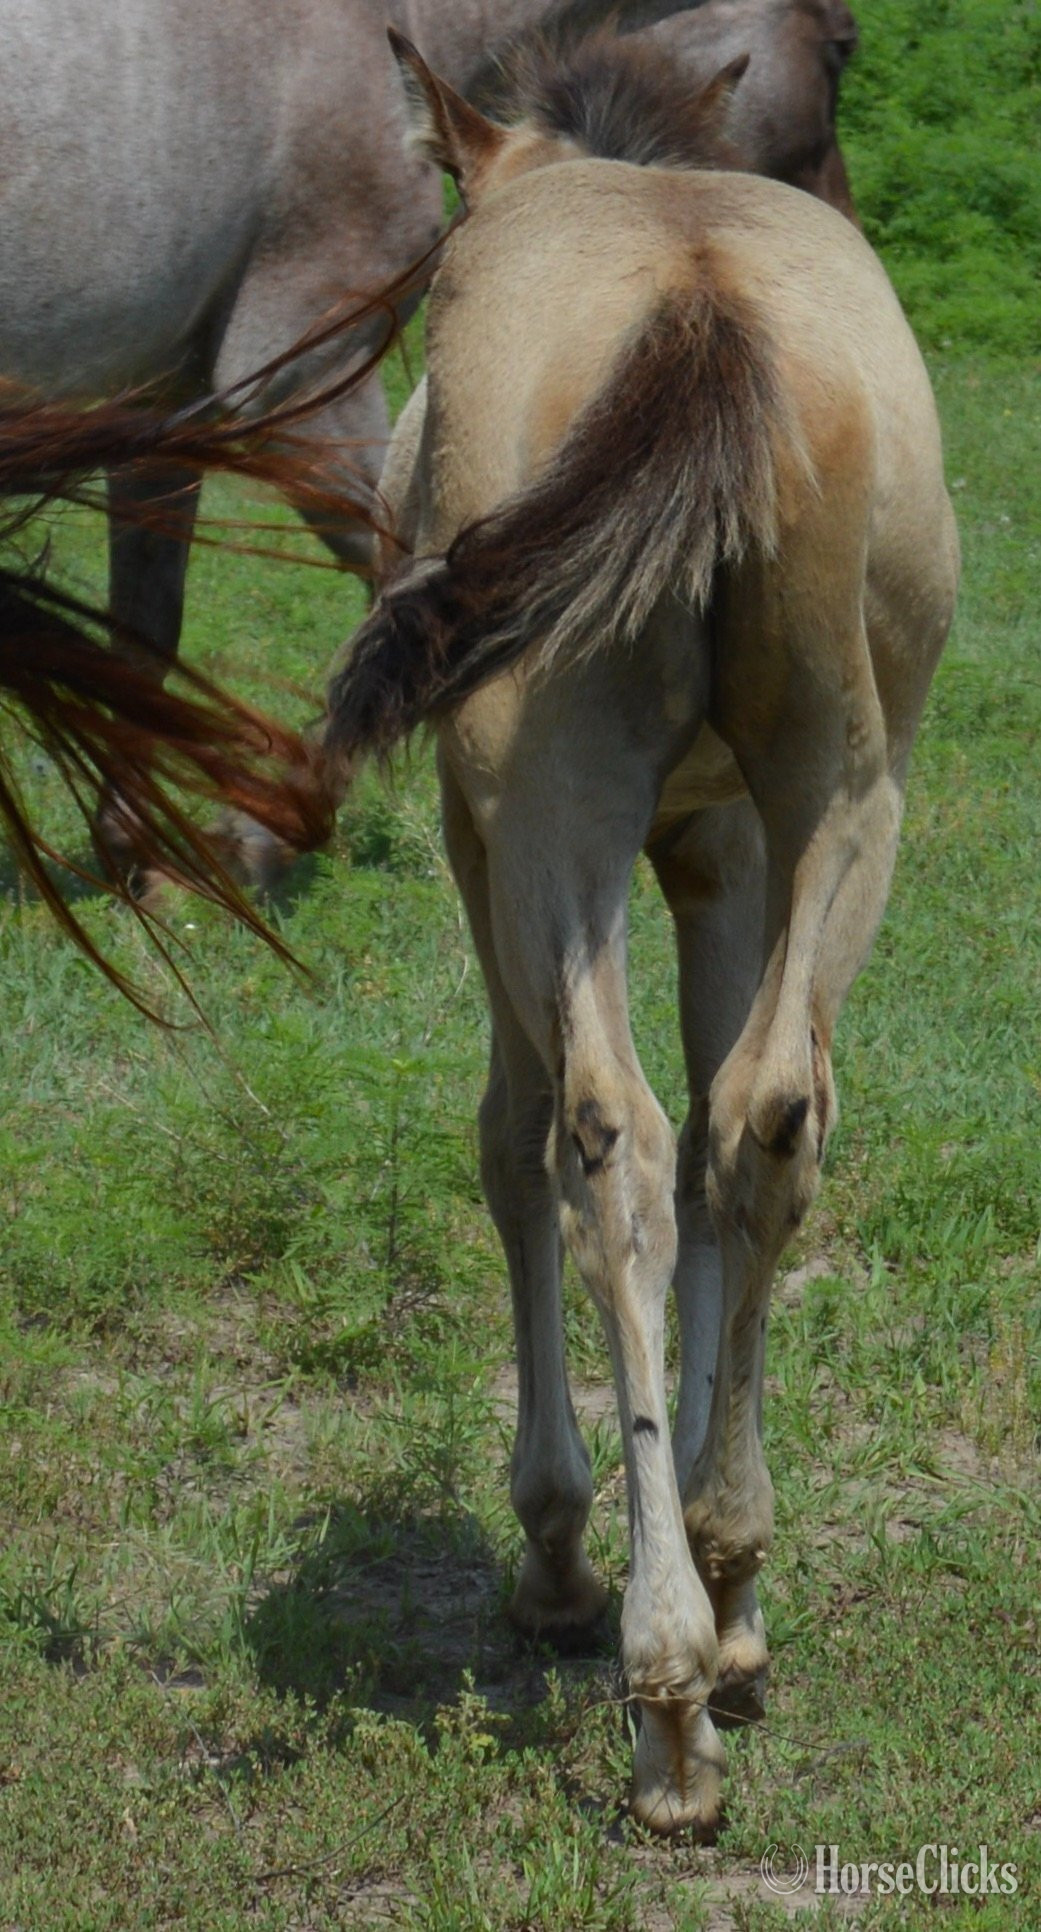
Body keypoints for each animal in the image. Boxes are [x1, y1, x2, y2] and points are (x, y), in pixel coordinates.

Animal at [318, 31, 960, 1834]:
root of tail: (699, 300)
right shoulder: (730, 844)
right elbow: (722, 1162)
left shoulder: (483, 839)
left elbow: (514, 1139)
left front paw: (550, 1537)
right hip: (848, 795)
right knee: (763, 1120)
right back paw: (727, 1595)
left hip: (551, 808)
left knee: (599, 1132)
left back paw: (659, 1680)